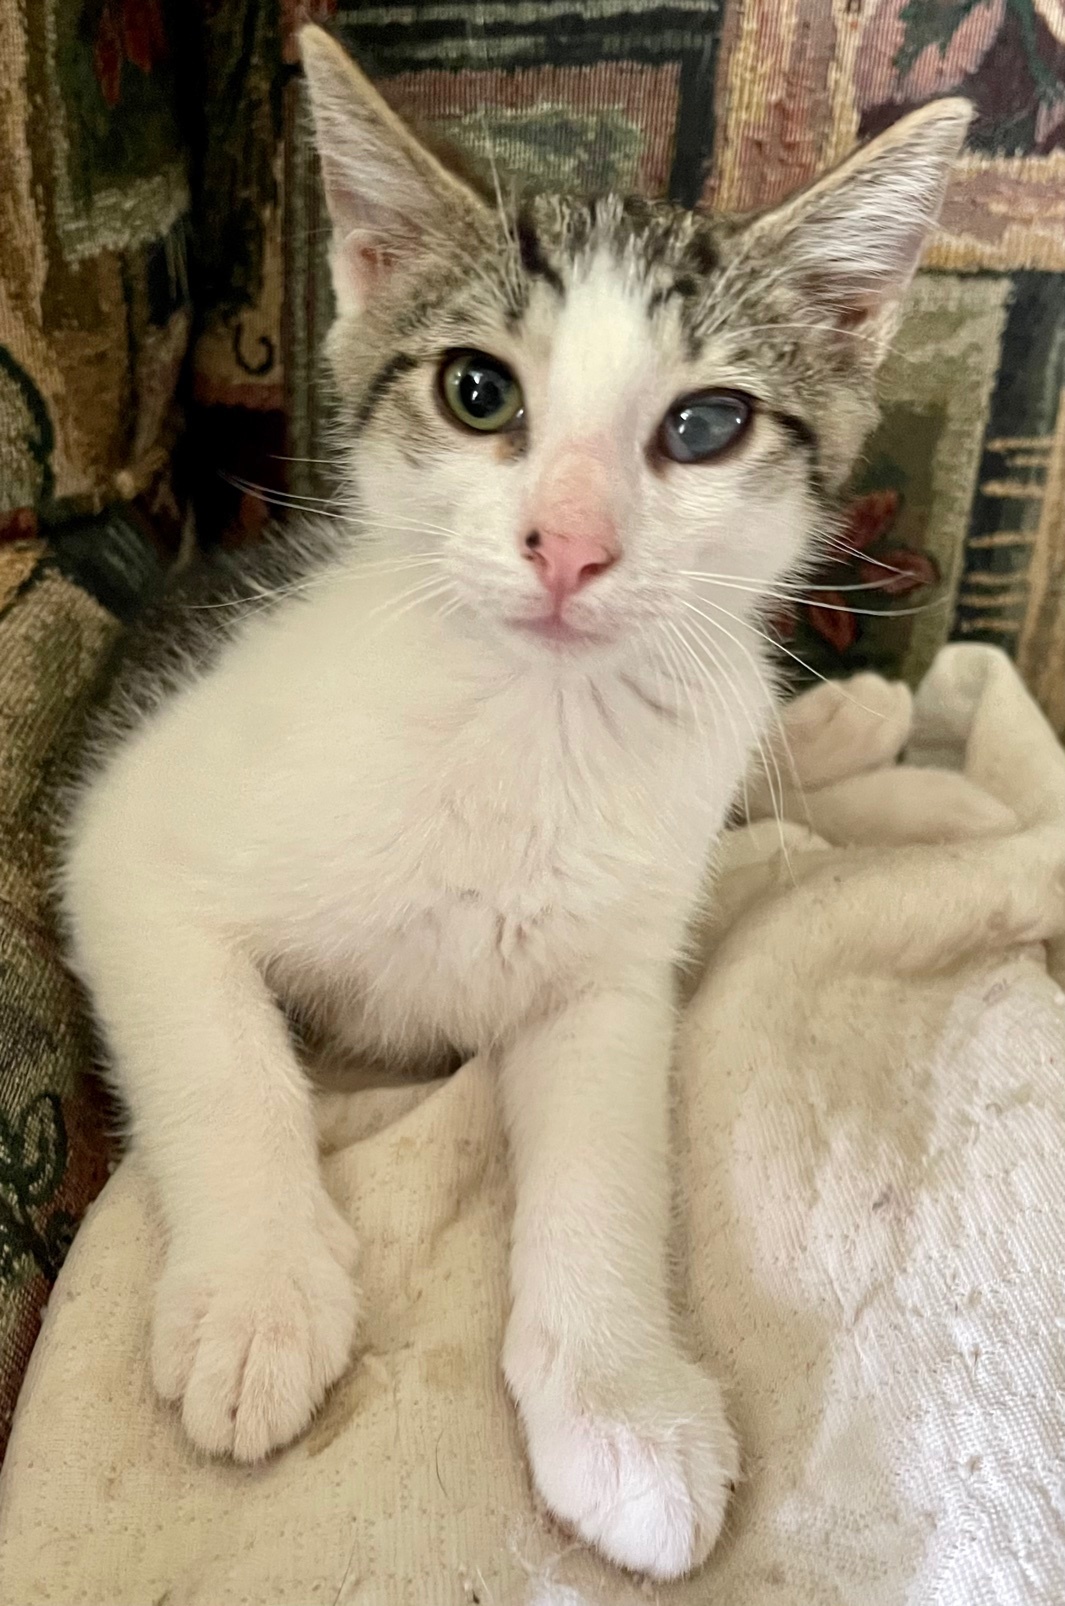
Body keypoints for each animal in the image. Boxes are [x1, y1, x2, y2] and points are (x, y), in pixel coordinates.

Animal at [60, 25, 976, 1580]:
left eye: (708, 422)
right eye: (477, 392)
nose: (571, 544)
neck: (531, 728)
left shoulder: (606, 981)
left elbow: (604, 1159)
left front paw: (621, 1405)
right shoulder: (123, 837)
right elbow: (226, 1063)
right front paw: (258, 1298)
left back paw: (845, 719)